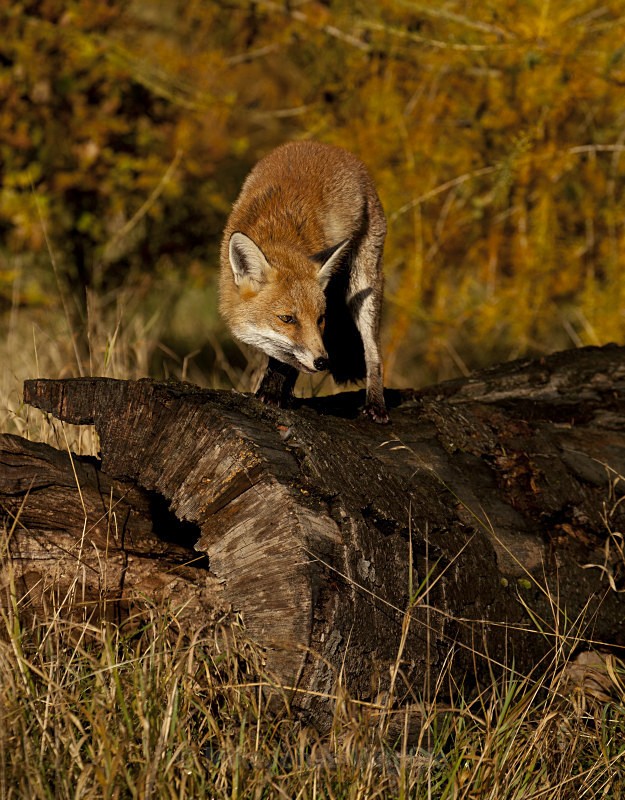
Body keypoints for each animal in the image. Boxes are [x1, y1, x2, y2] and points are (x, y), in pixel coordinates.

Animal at [219, 140, 388, 423]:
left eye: (321, 319)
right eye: (287, 319)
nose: (323, 362)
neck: (278, 230)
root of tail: (328, 147)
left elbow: (286, 362)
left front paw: (273, 393)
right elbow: (284, 356)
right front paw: (276, 390)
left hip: (364, 287)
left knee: (372, 352)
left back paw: (376, 404)